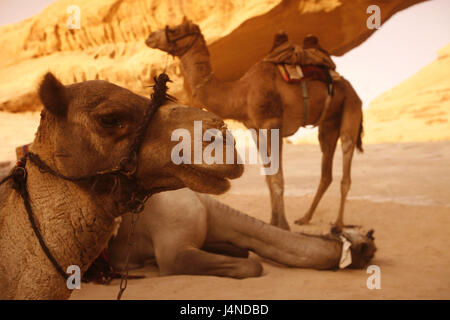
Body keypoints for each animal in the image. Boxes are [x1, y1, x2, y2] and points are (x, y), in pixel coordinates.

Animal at [103, 188, 374, 280]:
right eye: (368, 252)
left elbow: (243, 251)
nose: (374, 244)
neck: (207, 210)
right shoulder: (173, 253)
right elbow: (253, 265)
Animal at [146, 19, 364, 230]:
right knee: (326, 170)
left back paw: (338, 225)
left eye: (175, 30)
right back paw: (305, 218)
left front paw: (282, 225)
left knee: (346, 156)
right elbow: (268, 177)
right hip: (328, 123)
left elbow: (276, 178)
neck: (241, 92)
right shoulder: (255, 129)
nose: (150, 37)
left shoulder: (271, 123)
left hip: (351, 106)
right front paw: (273, 221)